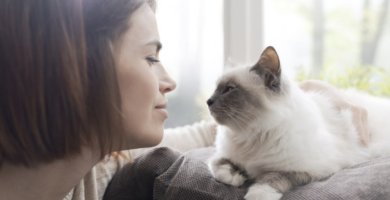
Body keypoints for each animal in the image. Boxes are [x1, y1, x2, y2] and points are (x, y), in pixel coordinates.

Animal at [206, 46, 390, 200]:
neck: (250, 135)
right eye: (216, 89)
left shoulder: (305, 169)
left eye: (229, 89)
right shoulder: (224, 155)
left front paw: (257, 193)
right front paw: (235, 177)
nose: (208, 101)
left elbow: (272, 178)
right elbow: (217, 165)